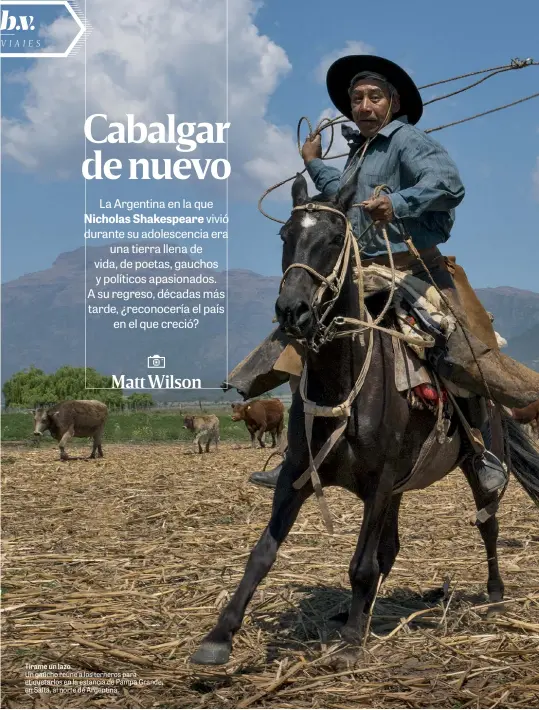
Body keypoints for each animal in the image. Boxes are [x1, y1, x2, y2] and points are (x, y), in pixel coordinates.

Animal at [191, 174, 539, 668]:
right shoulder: (299, 475)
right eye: (285, 236)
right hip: (397, 488)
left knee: (487, 524)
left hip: (474, 463)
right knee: (390, 548)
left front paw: (353, 641)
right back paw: (359, 609)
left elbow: (360, 564)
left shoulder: (379, 481)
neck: (344, 385)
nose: (292, 310)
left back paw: (493, 594)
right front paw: (220, 634)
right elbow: (262, 554)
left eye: (335, 238)